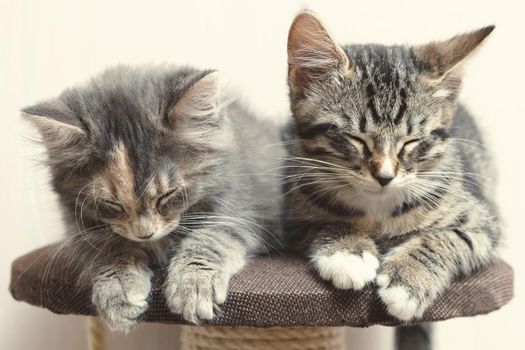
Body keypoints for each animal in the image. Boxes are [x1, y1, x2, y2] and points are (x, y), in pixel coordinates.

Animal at [23, 65, 282, 330]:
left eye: (168, 194)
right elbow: (112, 250)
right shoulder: (82, 231)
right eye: (112, 203)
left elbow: (209, 240)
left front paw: (193, 287)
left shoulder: (240, 211)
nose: (144, 233)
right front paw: (118, 292)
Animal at [282, 10, 500, 322]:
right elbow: (325, 221)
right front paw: (348, 254)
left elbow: (451, 237)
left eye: (411, 142)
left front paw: (408, 279)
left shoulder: (483, 221)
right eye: (356, 138)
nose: (385, 176)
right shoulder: (292, 213)